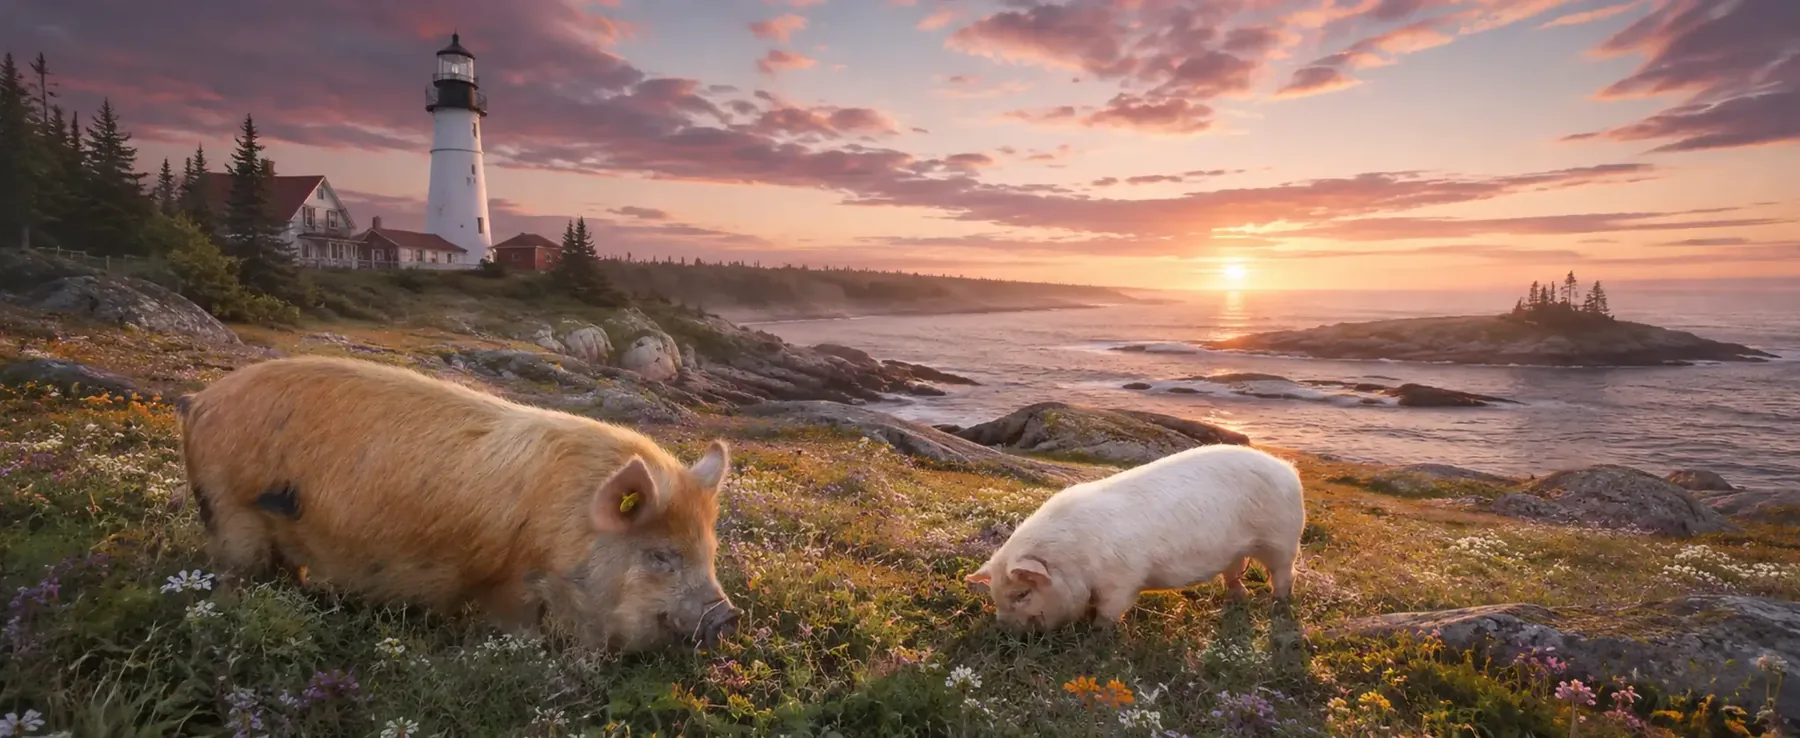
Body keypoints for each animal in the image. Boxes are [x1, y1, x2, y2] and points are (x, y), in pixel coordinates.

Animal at [174, 355, 741, 652]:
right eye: (660, 555)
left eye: (711, 551)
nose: (728, 616)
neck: (569, 527)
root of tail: (198, 399)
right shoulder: (509, 581)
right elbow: (517, 626)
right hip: (227, 508)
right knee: (233, 571)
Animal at [965, 444, 1304, 631]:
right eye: (994, 594)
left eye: (1022, 593)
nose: (1004, 630)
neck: (1074, 561)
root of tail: (1287, 468)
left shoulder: (1123, 580)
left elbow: (1109, 610)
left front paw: (1097, 633)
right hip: (1235, 550)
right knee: (1235, 573)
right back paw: (1235, 600)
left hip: (1282, 539)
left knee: (1284, 573)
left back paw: (1278, 603)